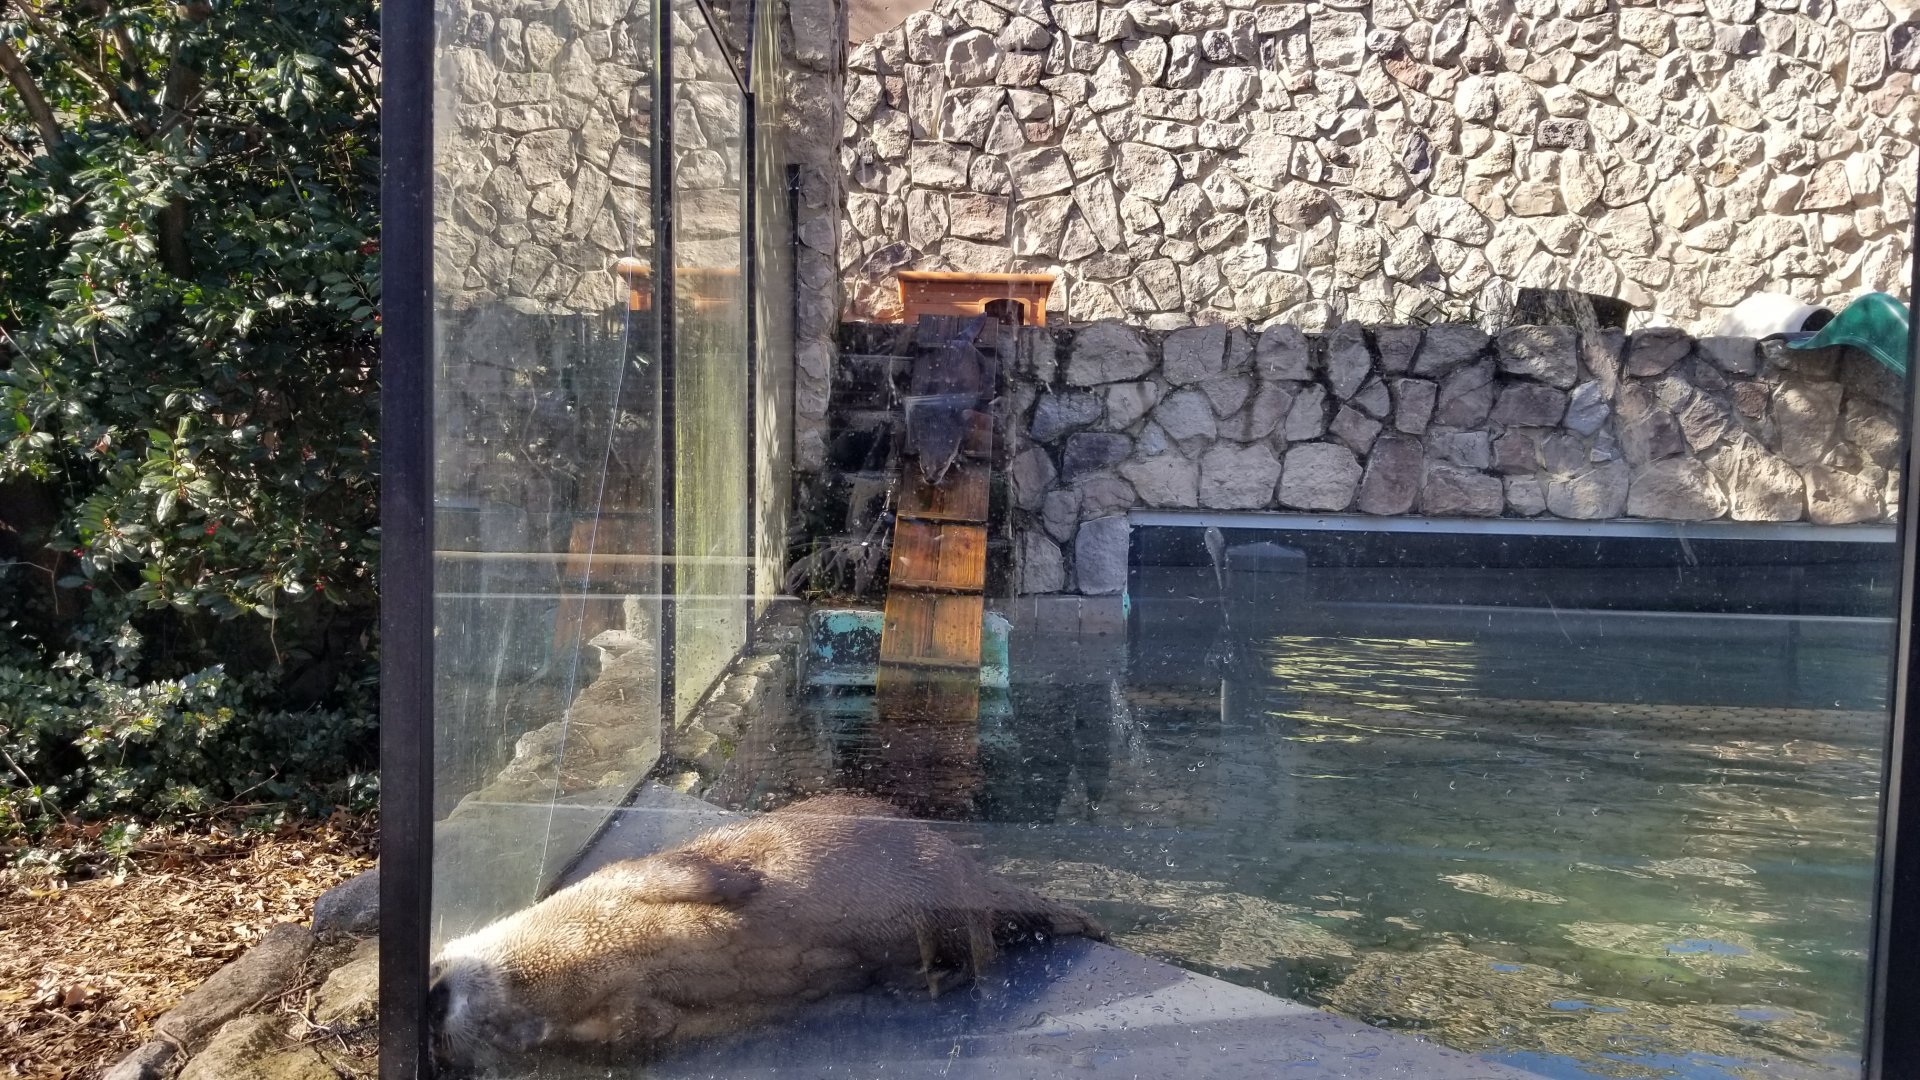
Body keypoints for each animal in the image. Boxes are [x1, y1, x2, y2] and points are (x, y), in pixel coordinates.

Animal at [430, 795, 1104, 1073]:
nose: (434, 998)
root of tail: (968, 868)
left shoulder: (620, 879)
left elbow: (690, 873)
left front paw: (740, 882)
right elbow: (648, 1028)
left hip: (939, 887)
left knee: (980, 950)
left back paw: (927, 980)